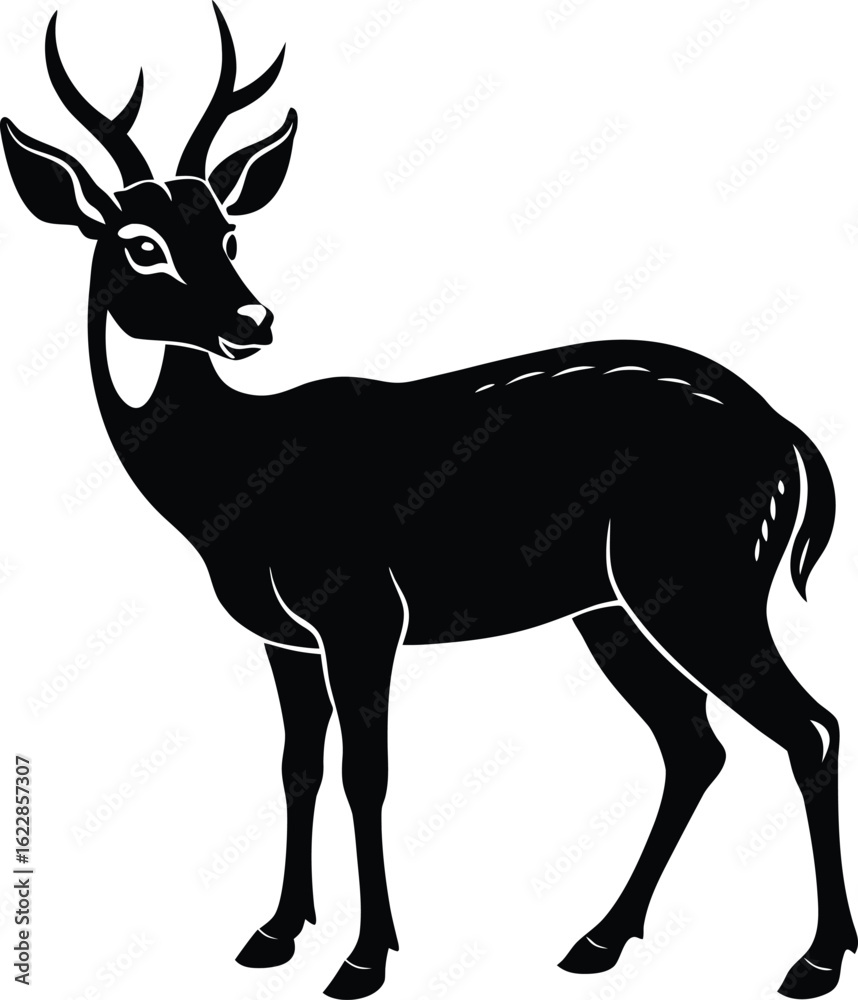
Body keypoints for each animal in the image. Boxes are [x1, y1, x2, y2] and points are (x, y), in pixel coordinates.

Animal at [1, 5, 854, 998]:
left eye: (228, 233)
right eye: (143, 243)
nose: (251, 323)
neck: (237, 468)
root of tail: (786, 433)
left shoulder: (363, 613)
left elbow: (365, 775)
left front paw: (364, 959)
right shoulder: (285, 637)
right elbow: (297, 767)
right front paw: (274, 934)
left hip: (698, 587)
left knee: (809, 729)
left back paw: (813, 960)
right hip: (611, 610)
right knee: (696, 747)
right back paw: (598, 941)